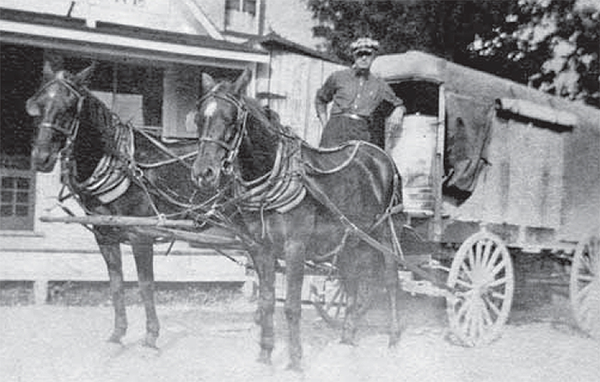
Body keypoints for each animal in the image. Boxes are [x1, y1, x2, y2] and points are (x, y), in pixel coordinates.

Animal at [27, 62, 211, 350]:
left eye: (70, 106)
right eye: (40, 103)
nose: (41, 157)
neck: (125, 168)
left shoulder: (141, 236)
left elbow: (146, 285)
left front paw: (151, 336)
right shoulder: (105, 237)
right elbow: (116, 284)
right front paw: (118, 333)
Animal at [192, 69, 408, 370]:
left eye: (231, 120)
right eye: (200, 119)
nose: (203, 173)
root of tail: (381, 157)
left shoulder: (295, 247)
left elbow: (292, 307)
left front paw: (295, 361)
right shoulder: (260, 248)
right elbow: (266, 302)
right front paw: (265, 355)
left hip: (384, 232)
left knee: (390, 279)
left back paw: (394, 338)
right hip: (351, 236)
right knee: (351, 280)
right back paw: (347, 337)